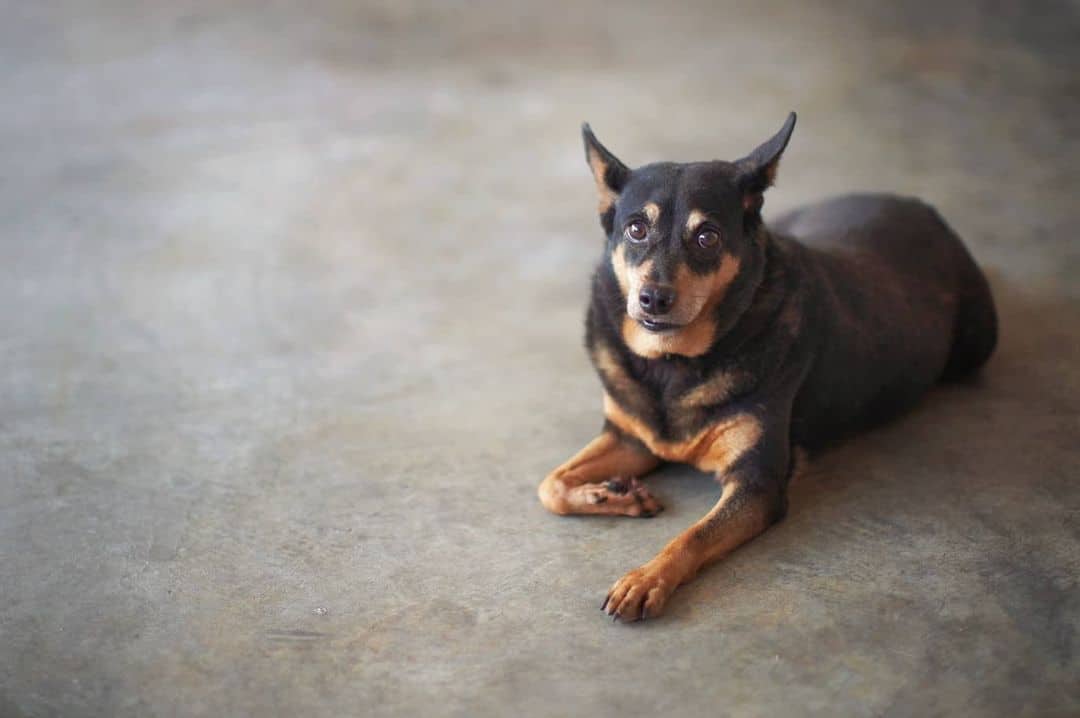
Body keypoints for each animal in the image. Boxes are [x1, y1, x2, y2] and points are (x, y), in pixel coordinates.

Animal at [535, 112, 997, 621]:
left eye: (707, 237)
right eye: (636, 229)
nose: (653, 298)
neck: (674, 362)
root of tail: (923, 208)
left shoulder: (757, 483)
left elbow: (692, 535)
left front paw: (645, 579)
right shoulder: (631, 437)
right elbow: (549, 485)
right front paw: (611, 494)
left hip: (977, 342)